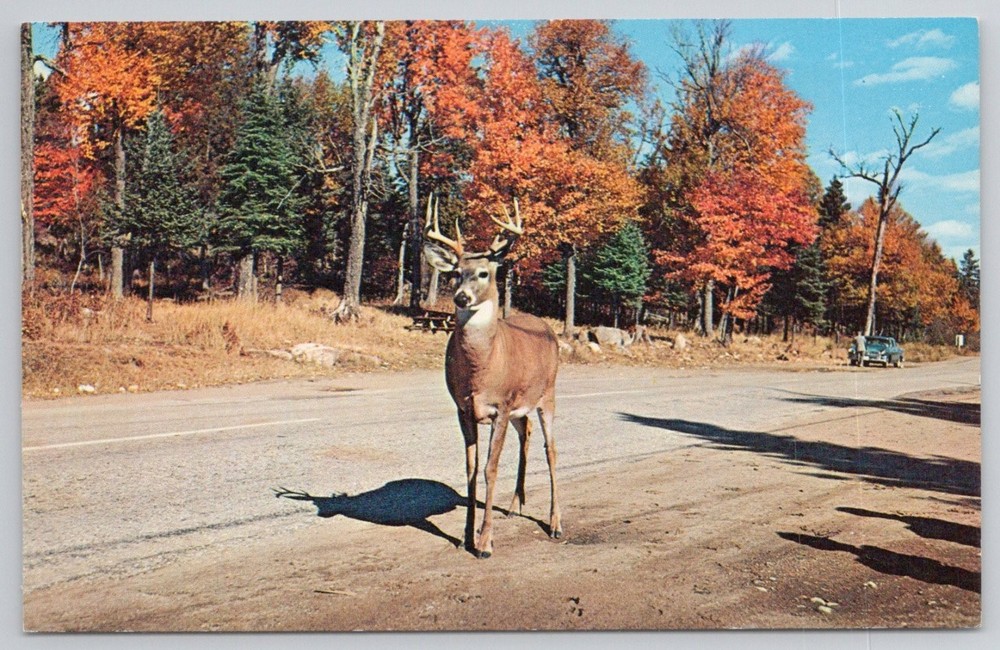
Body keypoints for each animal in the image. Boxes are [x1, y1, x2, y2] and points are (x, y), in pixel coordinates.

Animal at [422, 196, 561, 559]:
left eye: (484, 272)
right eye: (456, 273)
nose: (461, 297)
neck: (481, 370)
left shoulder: (501, 406)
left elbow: (490, 468)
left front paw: (485, 542)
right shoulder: (464, 409)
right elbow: (471, 469)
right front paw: (464, 537)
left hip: (548, 394)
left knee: (551, 449)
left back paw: (555, 523)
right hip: (521, 407)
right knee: (526, 433)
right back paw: (514, 505)